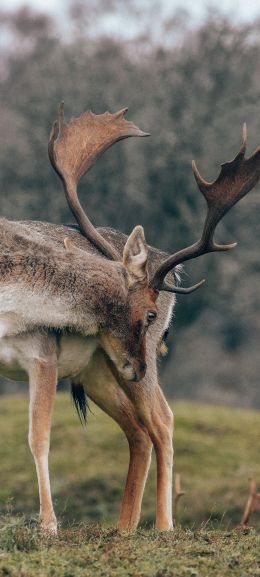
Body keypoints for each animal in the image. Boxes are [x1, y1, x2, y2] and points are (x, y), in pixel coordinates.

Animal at [0, 101, 258, 532]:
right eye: (147, 313)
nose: (137, 367)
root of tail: (170, 268)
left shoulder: (43, 355)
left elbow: (39, 437)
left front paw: (49, 526)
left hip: (122, 368)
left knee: (162, 421)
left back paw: (163, 527)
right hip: (99, 371)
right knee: (138, 431)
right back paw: (124, 528)